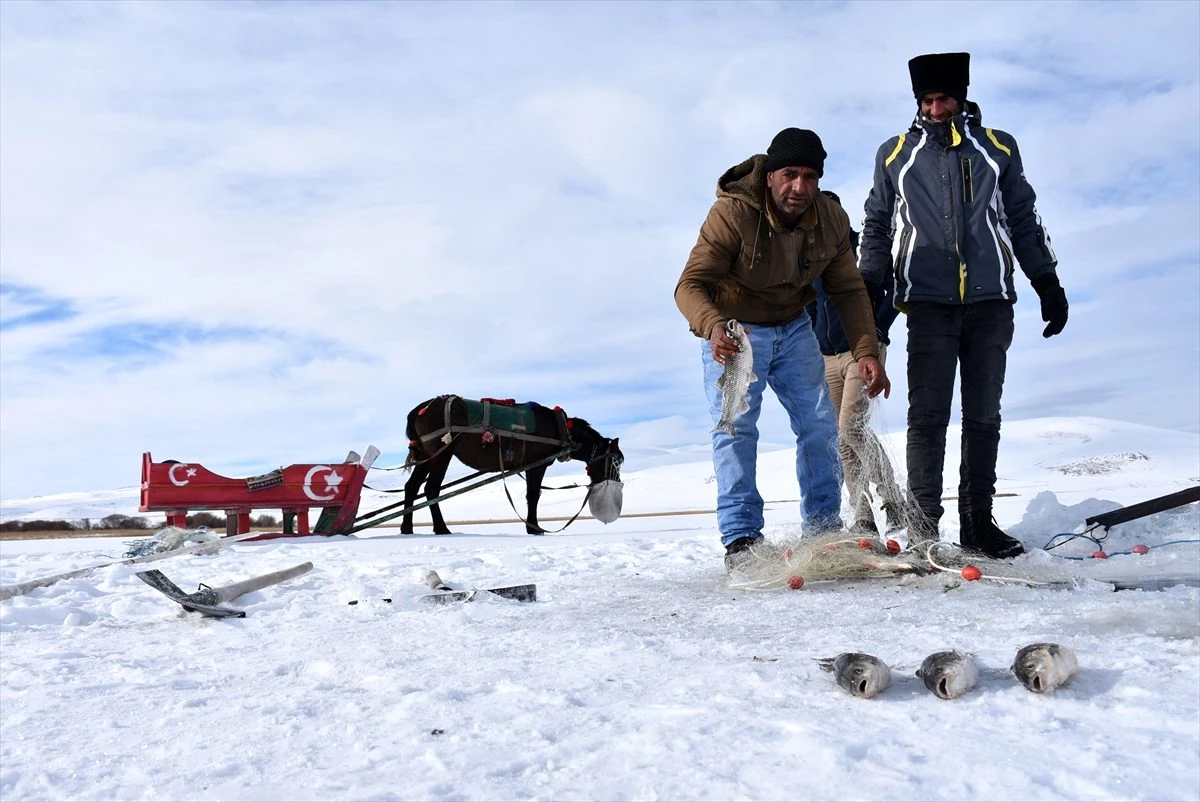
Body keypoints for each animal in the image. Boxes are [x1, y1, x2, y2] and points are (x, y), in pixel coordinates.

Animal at [405, 393, 628, 535]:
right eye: (615, 460)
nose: (617, 483)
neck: (561, 430)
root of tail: (420, 409)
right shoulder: (537, 465)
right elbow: (533, 495)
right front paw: (534, 528)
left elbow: (532, 495)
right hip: (442, 454)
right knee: (431, 488)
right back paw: (441, 528)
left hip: (425, 457)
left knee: (411, 487)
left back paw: (407, 528)